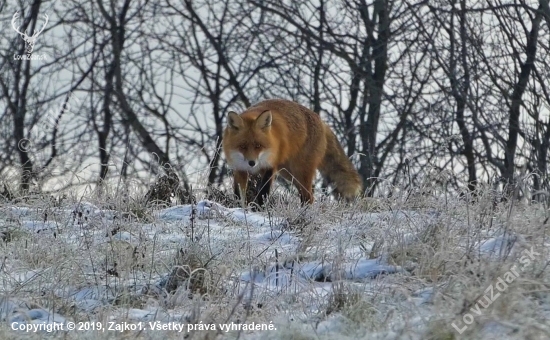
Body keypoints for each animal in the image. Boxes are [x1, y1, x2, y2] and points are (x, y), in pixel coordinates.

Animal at [222, 97, 364, 206]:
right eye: (243, 146)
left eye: (258, 145)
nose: (252, 163)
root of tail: (321, 121)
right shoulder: (239, 168)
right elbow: (239, 194)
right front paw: (240, 209)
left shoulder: (270, 167)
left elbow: (263, 193)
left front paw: (260, 209)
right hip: (289, 173)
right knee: (307, 192)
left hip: (300, 171)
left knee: (308, 195)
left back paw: (305, 213)